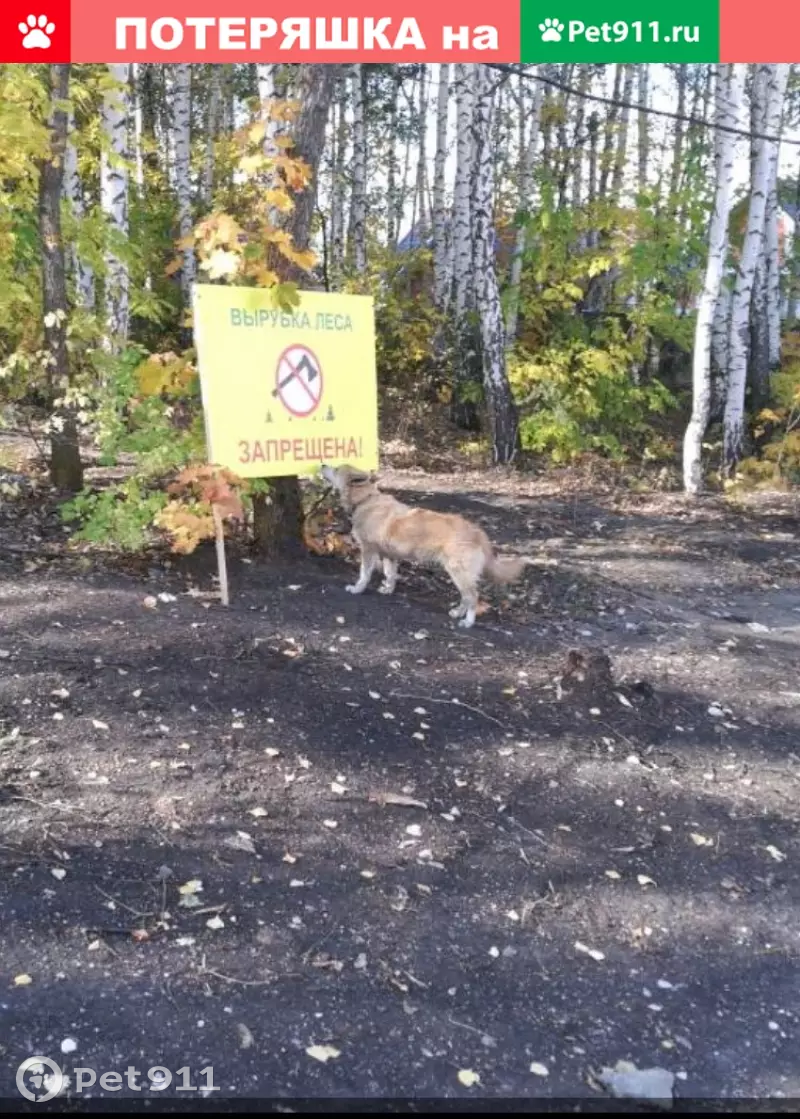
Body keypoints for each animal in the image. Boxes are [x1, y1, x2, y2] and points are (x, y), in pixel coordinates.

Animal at [320, 458, 532, 626]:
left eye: (336, 469)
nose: (322, 464)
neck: (366, 500)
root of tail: (478, 532)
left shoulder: (368, 550)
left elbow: (364, 574)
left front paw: (357, 589)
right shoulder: (390, 555)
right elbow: (390, 574)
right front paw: (388, 589)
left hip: (458, 572)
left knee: (473, 597)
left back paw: (468, 621)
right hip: (459, 574)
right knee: (466, 597)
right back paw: (458, 612)